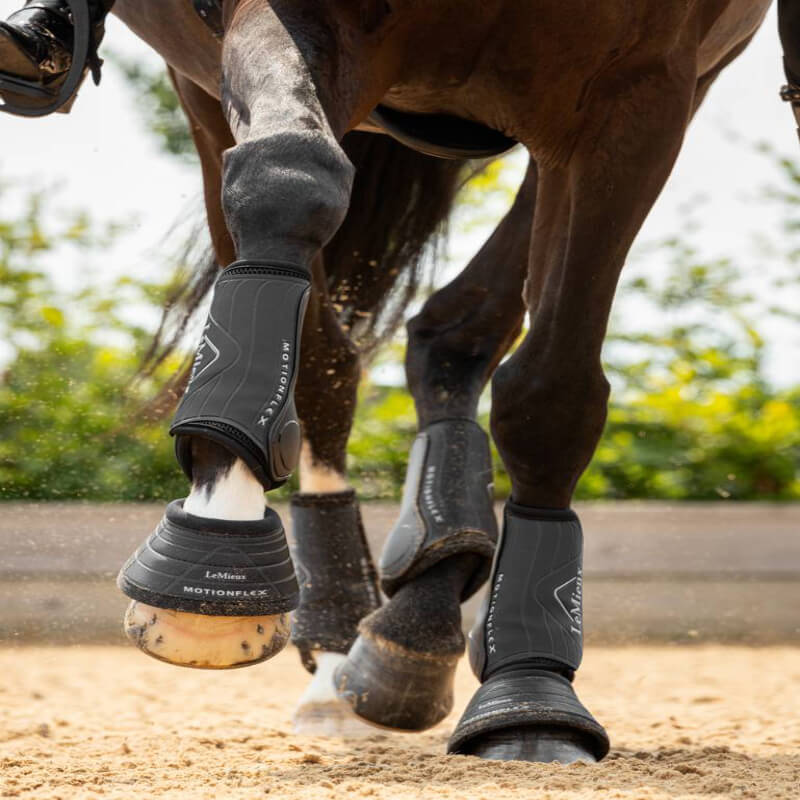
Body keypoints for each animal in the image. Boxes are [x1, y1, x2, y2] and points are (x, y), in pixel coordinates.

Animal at [109, 0, 771, 764]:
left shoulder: (640, 91)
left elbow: (553, 390)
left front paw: (529, 691)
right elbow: (289, 177)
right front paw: (210, 571)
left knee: (455, 332)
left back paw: (415, 616)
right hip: (205, 86)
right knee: (329, 345)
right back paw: (339, 636)